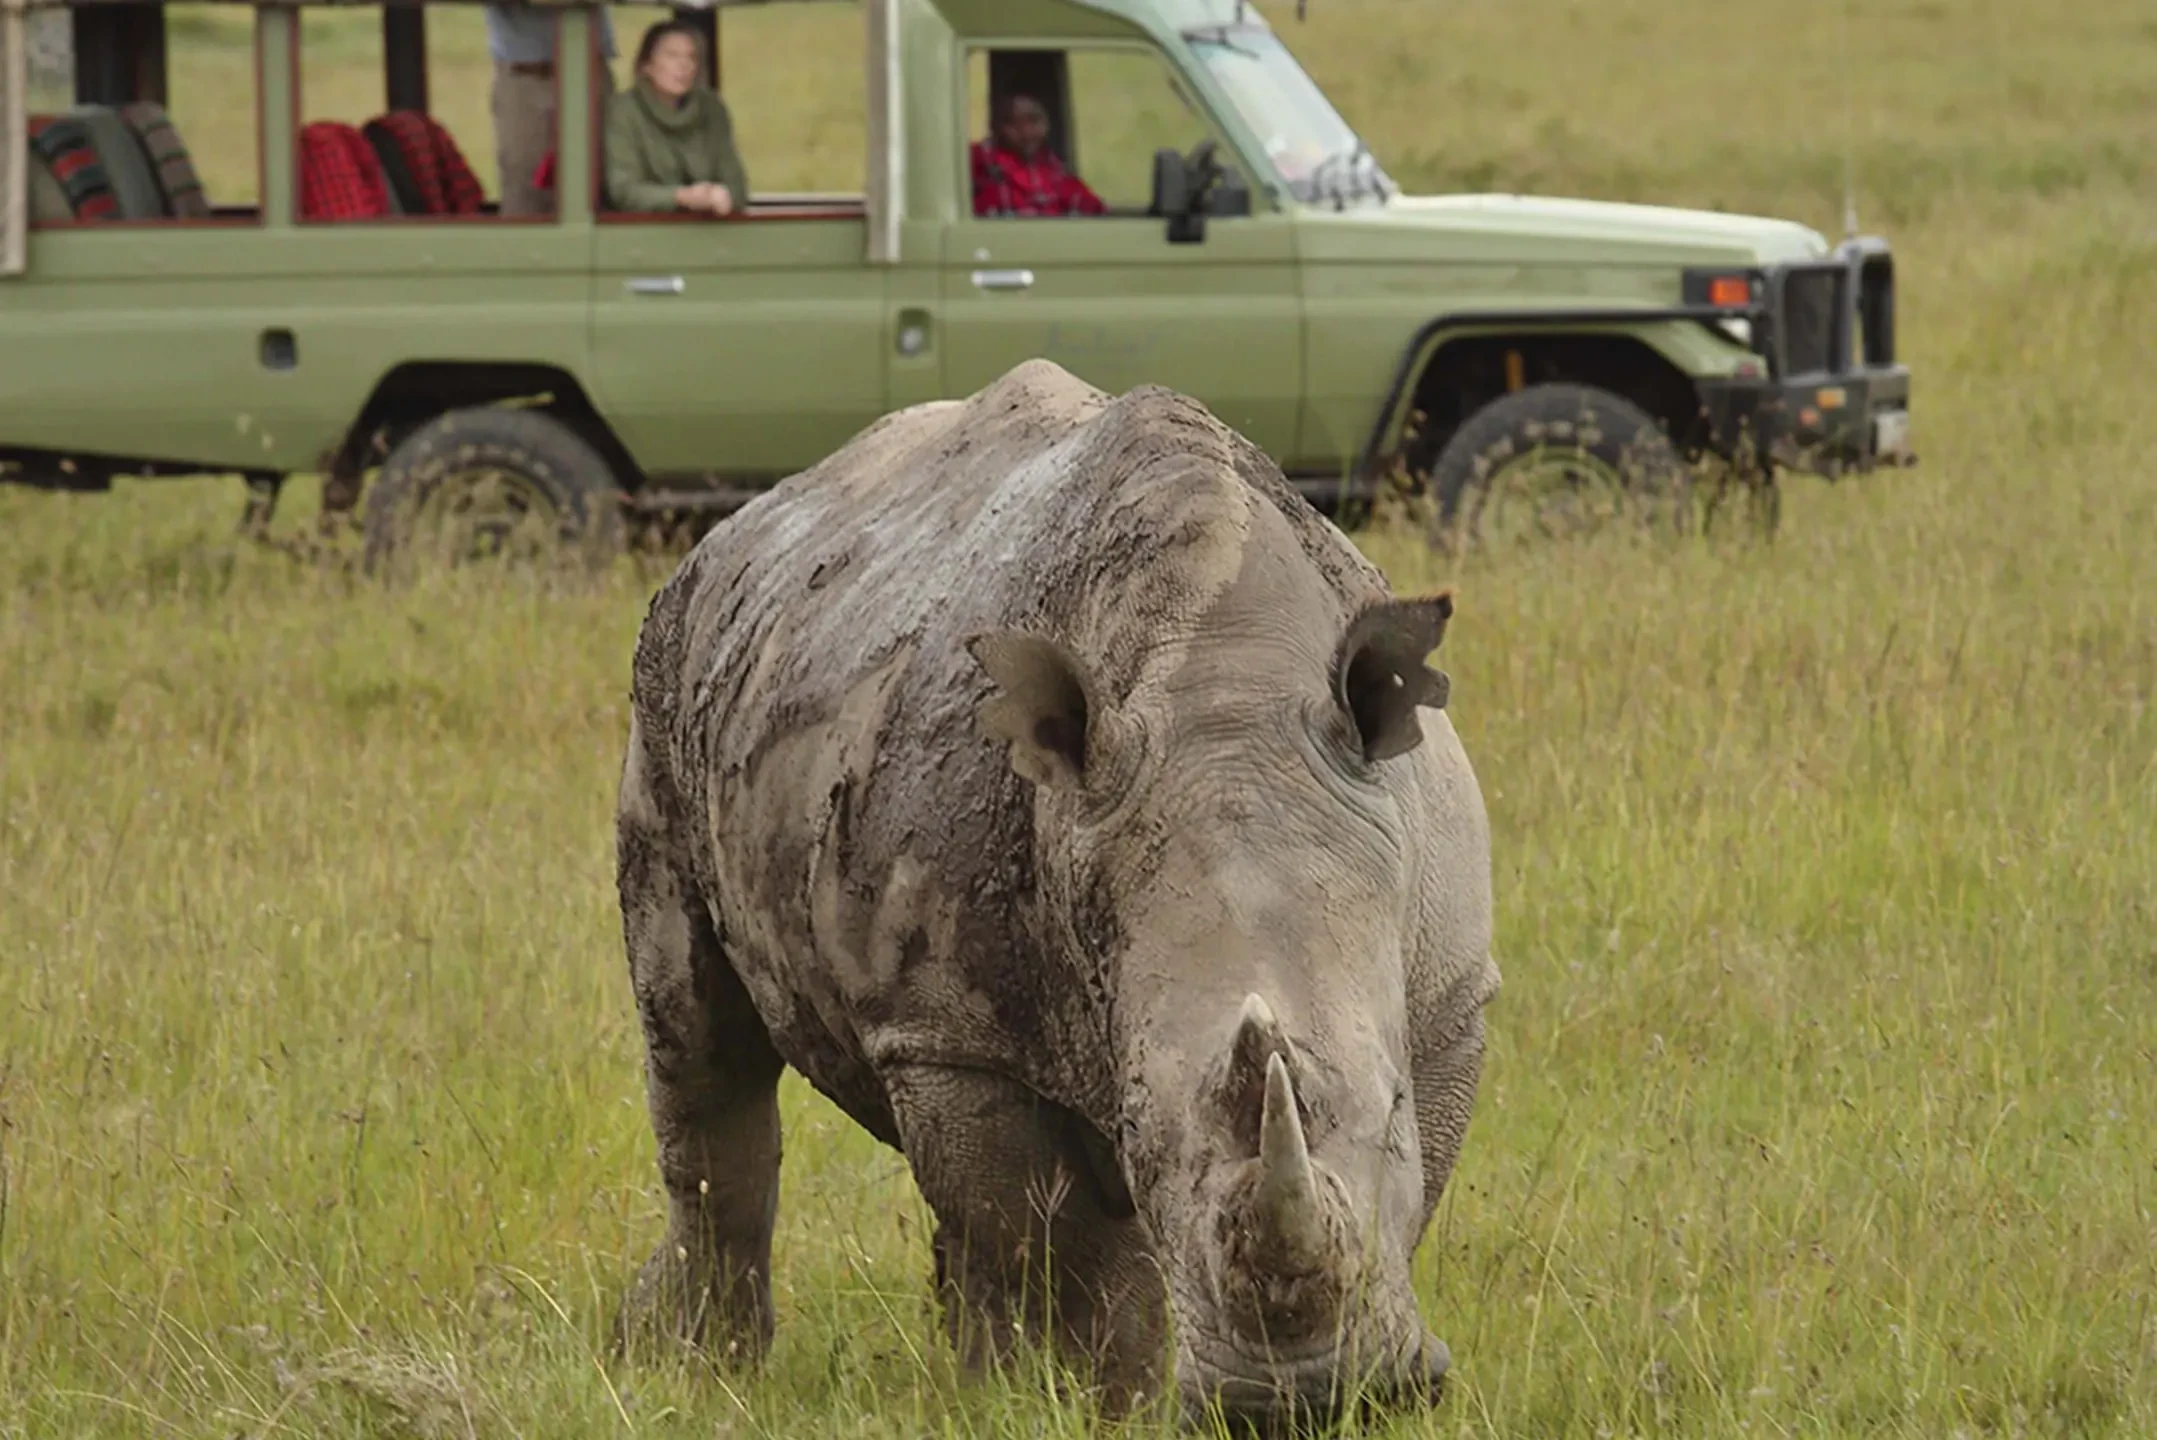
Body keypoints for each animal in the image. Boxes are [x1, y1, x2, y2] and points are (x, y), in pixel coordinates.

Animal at [610, 359, 1500, 1425]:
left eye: (1395, 1098)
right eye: (1134, 1128)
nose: (1301, 1401)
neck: (1225, 683)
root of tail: (737, 527)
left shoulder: (1448, 997)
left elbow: (1409, 1188)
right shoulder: (948, 1035)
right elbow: (1050, 1235)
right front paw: (1094, 1406)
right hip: (665, 682)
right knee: (703, 1051)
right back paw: (703, 1374)